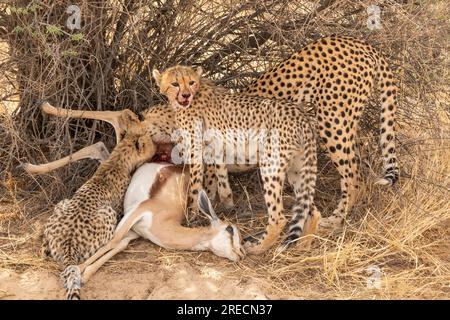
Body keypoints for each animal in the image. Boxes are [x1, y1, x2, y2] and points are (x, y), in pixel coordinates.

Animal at [42, 128, 155, 300]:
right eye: (151, 143)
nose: (157, 147)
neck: (118, 159)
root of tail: (69, 246)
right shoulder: (119, 210)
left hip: (63, 203)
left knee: (44, 245)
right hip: (108, 213)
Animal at [153, 65, 318, 255]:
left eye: (191, 82)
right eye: (175, 83)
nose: (186, 95)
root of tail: (301, 115)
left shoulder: (196, 152)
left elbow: (195, 187)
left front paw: (192, 215)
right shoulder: (215, 150)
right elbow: (220, 181)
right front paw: (225, 206)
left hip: (271, 165)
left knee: (279, 217)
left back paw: (258, 247)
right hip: (297, 169)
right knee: (310, 208)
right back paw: (304, 245)